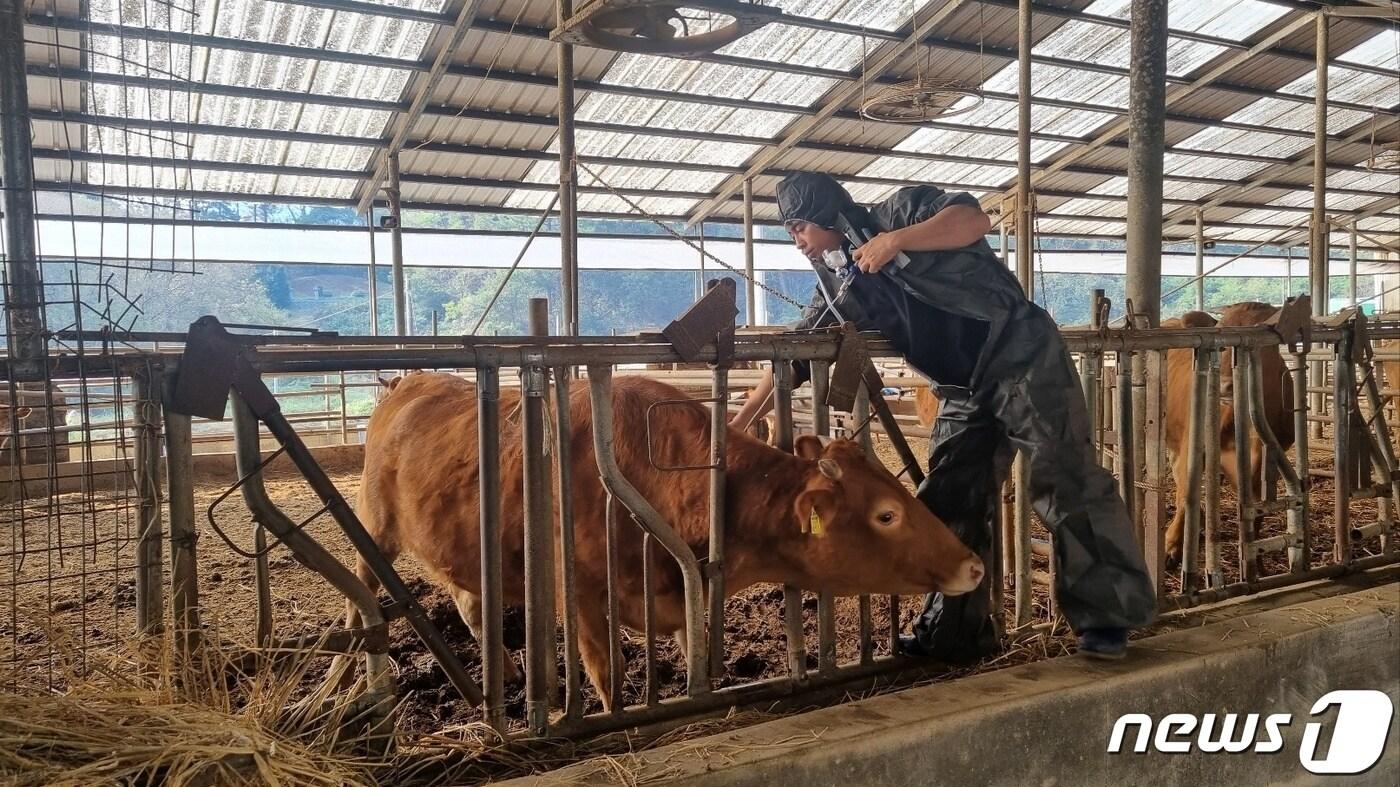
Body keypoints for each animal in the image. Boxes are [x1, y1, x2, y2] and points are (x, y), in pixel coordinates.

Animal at [352, 369, 985, 700]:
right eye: (887, 515)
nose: (974, 565)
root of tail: (410, 381)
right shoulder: (584, 599)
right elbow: (608, 674)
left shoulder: (683, 591)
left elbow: (696, 652)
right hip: (374, 526)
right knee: (365, 598)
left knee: (469, 601)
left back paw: (503, 672)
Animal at [1153, 299, 1293, 562]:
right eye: (1219, 344)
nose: (1226, 386)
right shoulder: (1193, 448)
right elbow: (1187, 494)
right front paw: (1170, 546)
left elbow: (1255, 510)